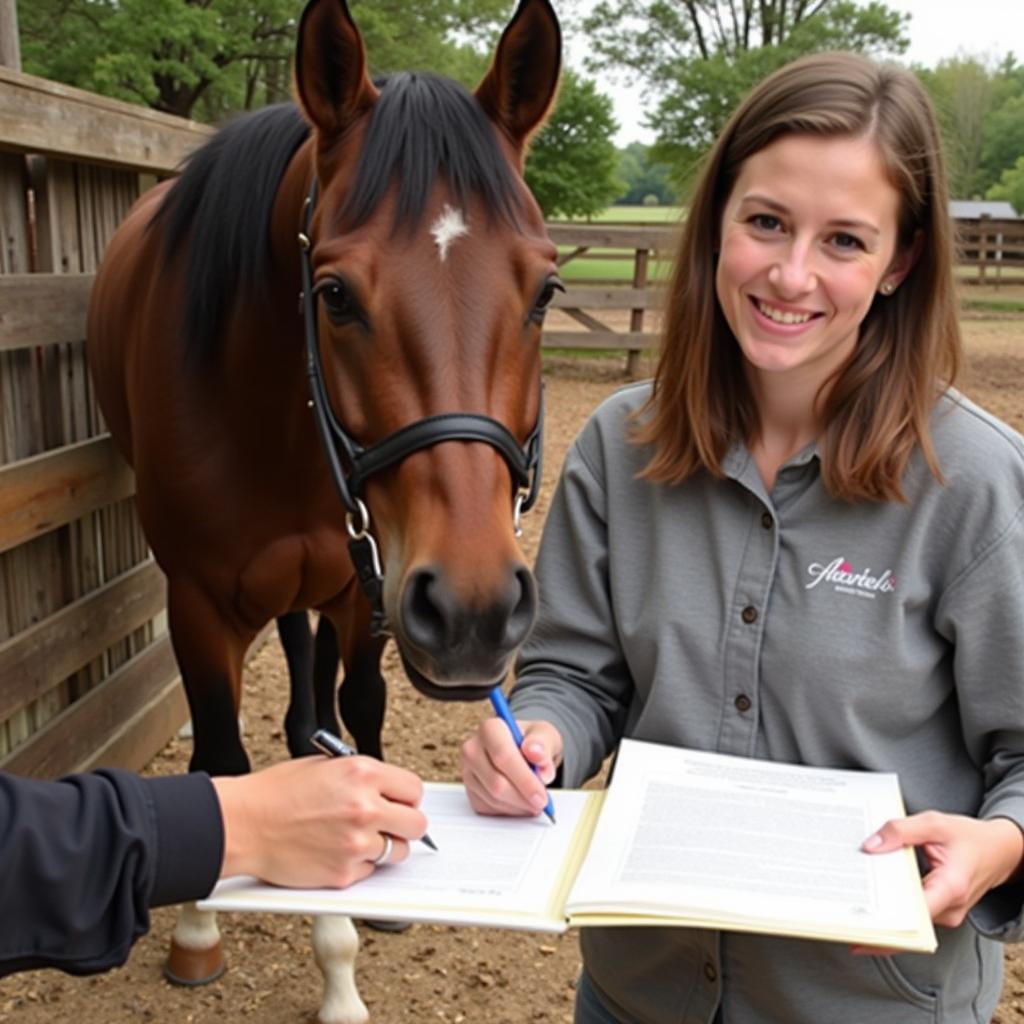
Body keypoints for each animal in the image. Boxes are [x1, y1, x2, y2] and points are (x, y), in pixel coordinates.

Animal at [88, 0, 565, 1011]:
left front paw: (350, 947)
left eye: (546, 290)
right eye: (334, 294)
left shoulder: (362, 596)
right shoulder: (197, 604)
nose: (475, 609)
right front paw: (200, 927)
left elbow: (361, 728)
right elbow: (221, 760)